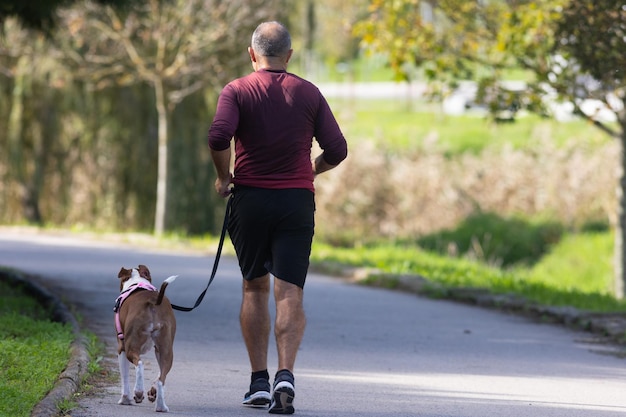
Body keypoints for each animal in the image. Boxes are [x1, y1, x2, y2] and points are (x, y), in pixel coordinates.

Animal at [114, 264, 177, 410]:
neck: (137, 282)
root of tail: (153, 301)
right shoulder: (158, 350)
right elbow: (159, 375)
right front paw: (152, 392)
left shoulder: (121, 348)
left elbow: (124, 376)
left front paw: (125, 399)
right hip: (166, 350)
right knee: (161, 379)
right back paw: (161, 406)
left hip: (131, 347)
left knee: (140, 364)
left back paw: (138, 392)